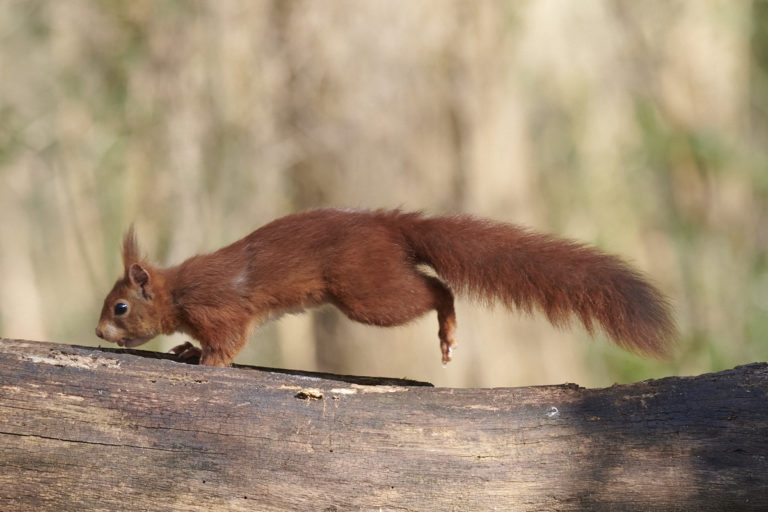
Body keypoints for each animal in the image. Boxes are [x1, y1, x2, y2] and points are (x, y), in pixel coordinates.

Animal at [94, 209, 672, 368]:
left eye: (119, 307)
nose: (98, 332)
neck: (176, 292)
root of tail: (389, 225)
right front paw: (186, 348)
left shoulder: (219, 307)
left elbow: (229, 341)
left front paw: (204, 360)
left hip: (367, 292)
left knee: (437, 290)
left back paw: (447, 330)